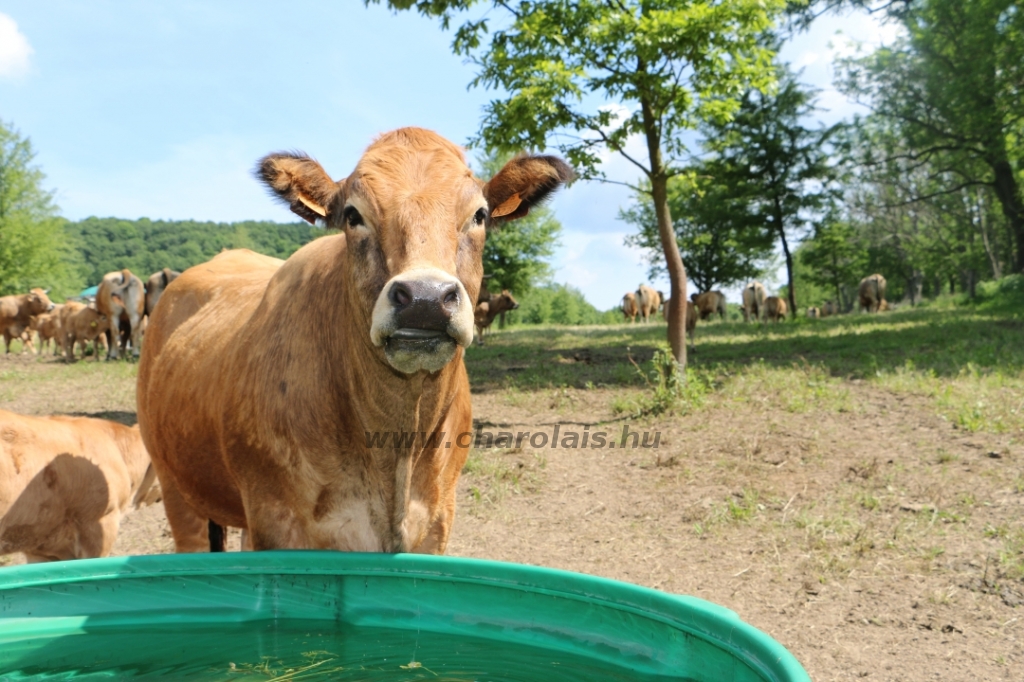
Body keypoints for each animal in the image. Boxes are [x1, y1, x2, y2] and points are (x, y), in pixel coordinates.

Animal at [136, 125, 573, 552]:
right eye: (352, 214)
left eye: (479, 214)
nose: (425, 298)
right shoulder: (276, 522)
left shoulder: (437, 523)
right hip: (176, 485)